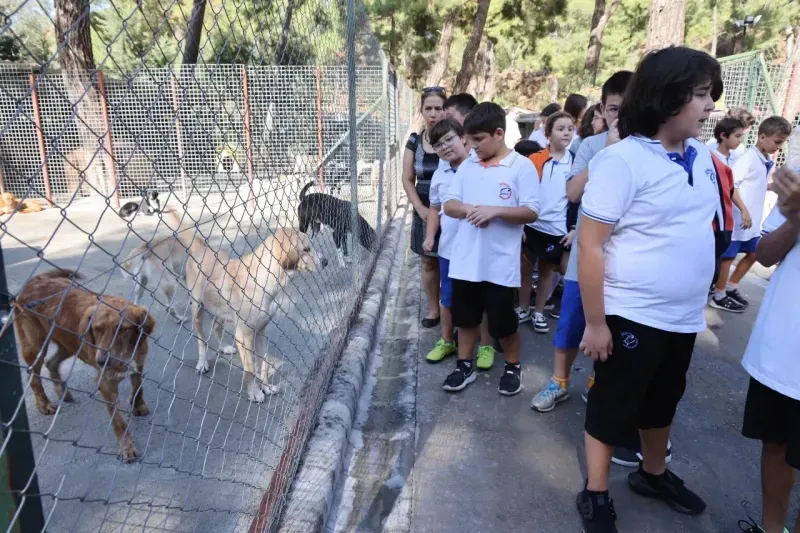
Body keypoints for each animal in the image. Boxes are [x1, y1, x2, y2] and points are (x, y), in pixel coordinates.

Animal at [12, 270, 155, 462]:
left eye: (122, 329)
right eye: (97, 329)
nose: (101, 361)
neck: (127, 350)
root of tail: (34, 280)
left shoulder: (138, 364)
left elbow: (139, 387)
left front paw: (138, 406)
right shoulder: (106, 382)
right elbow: (119, 421)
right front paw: (127, 446)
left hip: (69, 344)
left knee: (51, 363)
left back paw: (62, 391)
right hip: (35, 346)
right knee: (32, 374)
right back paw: (44, 404)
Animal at [164, 210, 326, 402]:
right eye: (306, 249)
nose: (325, 262)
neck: (264, 277)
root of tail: (201, 248)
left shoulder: (261, 330)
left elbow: (263, 363)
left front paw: (266, 387)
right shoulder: (244, 335)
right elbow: (250, 368)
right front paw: (255, 392)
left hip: (221, 310)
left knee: (216, 327)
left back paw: (224, 347)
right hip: (197, 308)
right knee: (201, 339)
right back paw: (202, 362)